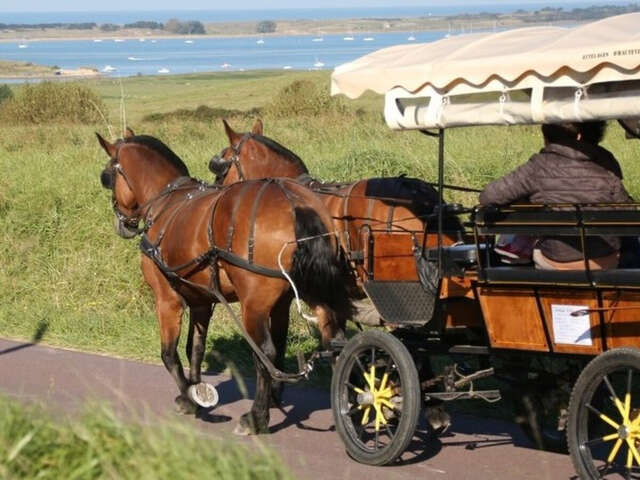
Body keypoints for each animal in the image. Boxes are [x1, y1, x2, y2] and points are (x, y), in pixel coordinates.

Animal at [99, 129, 356, 434]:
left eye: (108, 176)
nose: (121, 222)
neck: (165, 202)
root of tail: (294, 201)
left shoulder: (166, 299)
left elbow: (169, 354)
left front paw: (190, 399)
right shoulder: (201, 301)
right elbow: (195, 349)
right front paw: (197, 390)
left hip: (254, 304)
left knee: (265, 352)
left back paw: (256, 417)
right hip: (312, 292)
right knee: (333, 344)